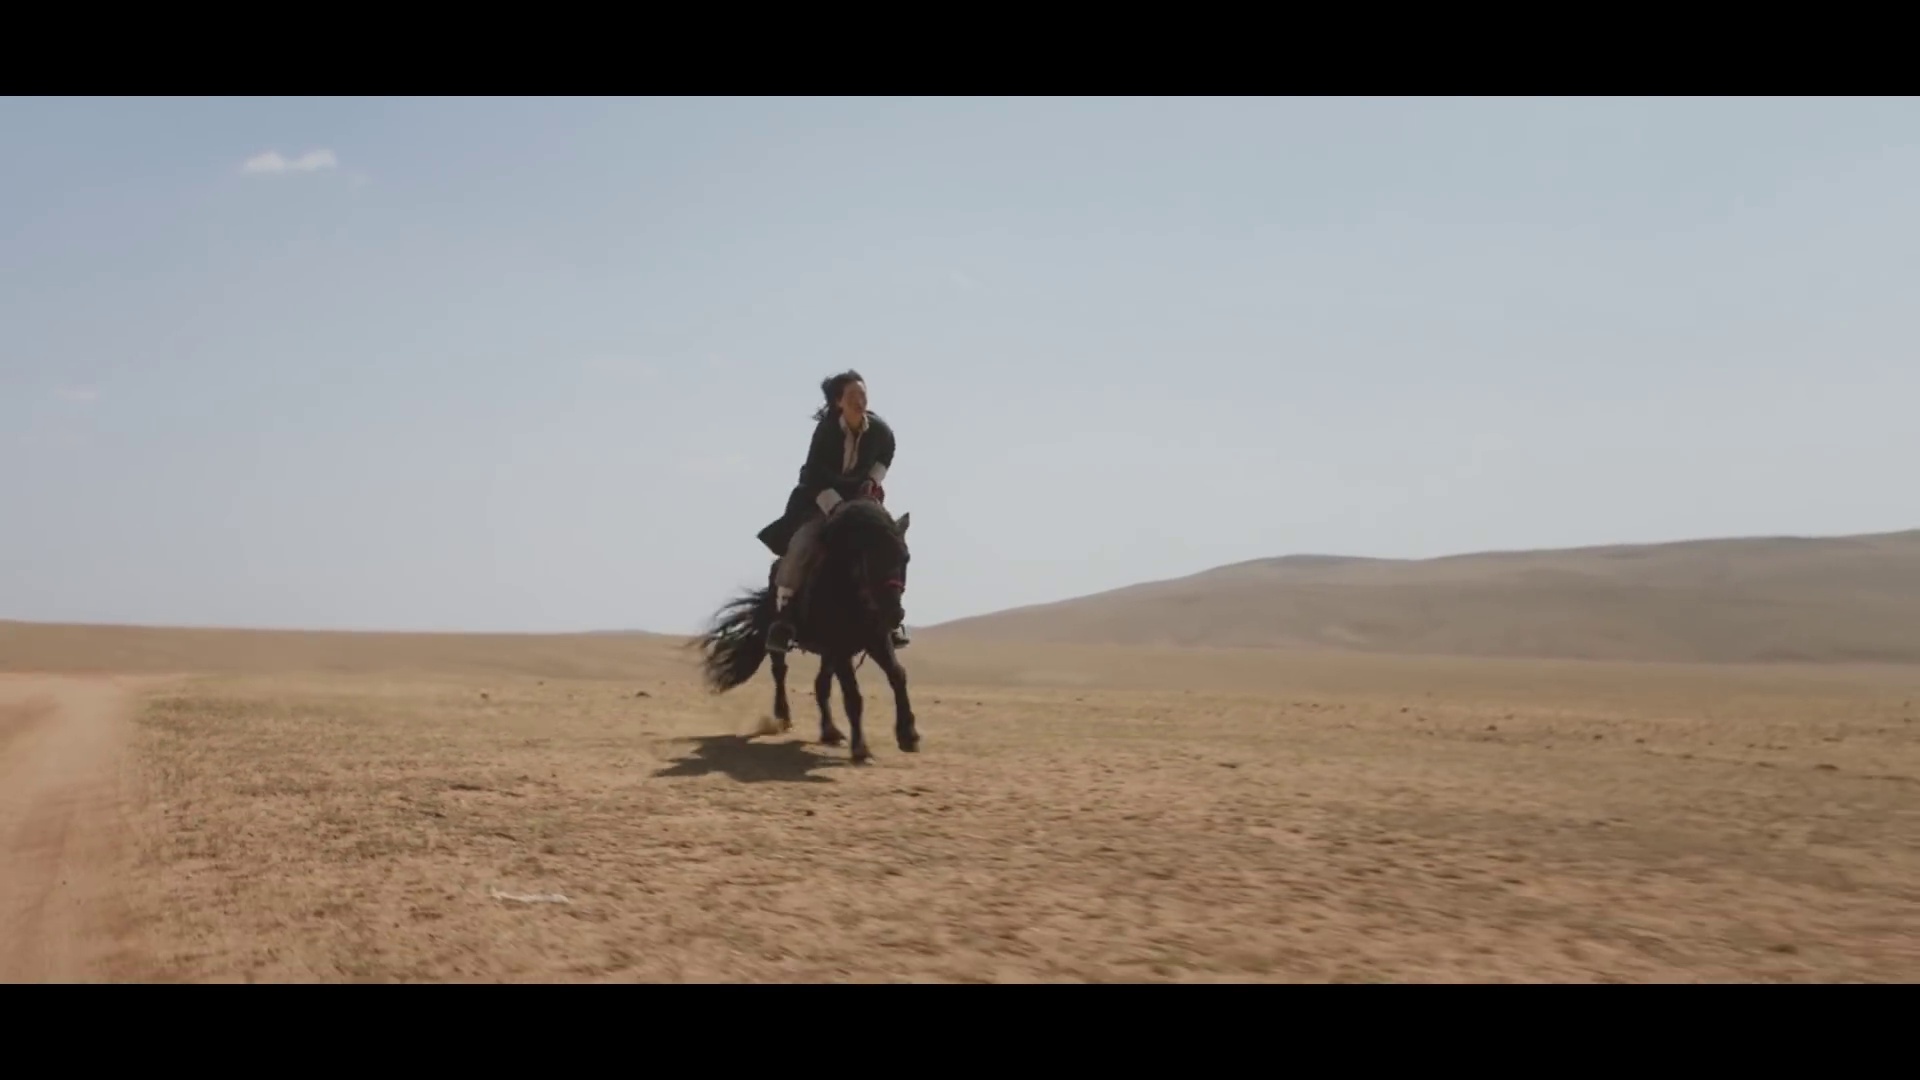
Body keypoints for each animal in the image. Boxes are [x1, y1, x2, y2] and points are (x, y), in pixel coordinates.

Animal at [691, 498, 916, 764]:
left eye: (905, 558)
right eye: (872, 557)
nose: (895, 614)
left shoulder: (875, 638)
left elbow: (898, 675)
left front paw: (908, 736)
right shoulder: (840, 646)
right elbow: (852, 695)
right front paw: (861, 748)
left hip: (827, 653)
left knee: (821, 685)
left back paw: (830, 731)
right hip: (783, 642)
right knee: (780, 672)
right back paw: (784, 716)